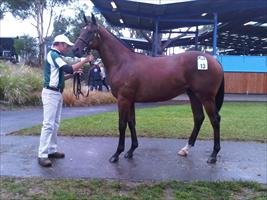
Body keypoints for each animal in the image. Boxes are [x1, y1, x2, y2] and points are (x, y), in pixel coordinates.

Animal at [73, 14, 224, 164]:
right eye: (82, 31)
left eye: (91, 31)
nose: (75, 50)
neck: (123, 63)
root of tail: (214, 60)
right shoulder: (130, 100)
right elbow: (131, 123)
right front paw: (131, 151)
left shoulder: (123, 100)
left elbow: (122, 124)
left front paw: (116, 154)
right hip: (193, 95)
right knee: (198, 118)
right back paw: (185, 149)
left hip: (206, 97)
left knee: (215, 120)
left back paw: (213, 155)